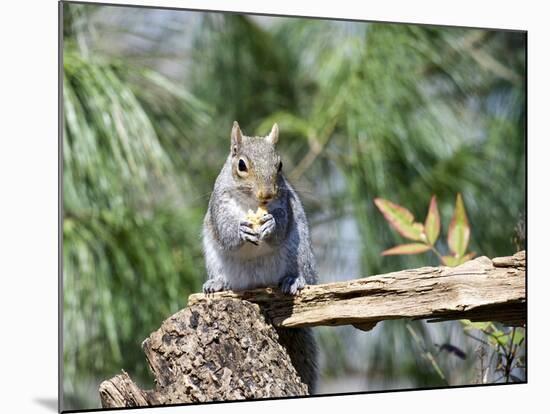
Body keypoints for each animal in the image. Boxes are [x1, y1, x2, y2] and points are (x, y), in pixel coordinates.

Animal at [204, 121, 320, 392]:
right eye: (241, 165)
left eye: (280, 165)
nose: (266, 194)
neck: (250, 204)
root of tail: (258, 282)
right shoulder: (219, 205)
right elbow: (225, 231)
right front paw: (240, 231)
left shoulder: (285, 205)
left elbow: (280, 224)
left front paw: (270, 225)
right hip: (214, 256)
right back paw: (217, 283)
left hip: (300, 251)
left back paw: (294, 280)